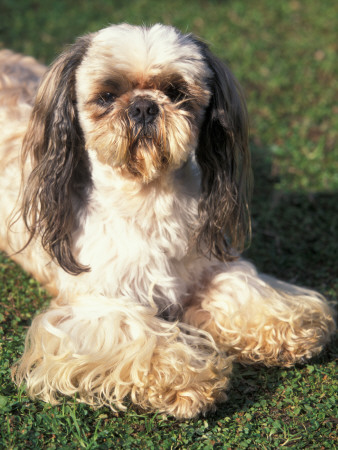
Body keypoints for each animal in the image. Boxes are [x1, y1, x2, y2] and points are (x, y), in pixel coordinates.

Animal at [0, 23, 334, 418]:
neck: (149, 198)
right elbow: (137, 333)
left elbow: (240, 287)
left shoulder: (210, 266)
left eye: (175, 92)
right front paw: (187, 381)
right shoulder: (94, 307)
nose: (145, 105)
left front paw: (292, 329)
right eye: (107, 96)